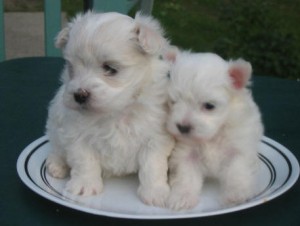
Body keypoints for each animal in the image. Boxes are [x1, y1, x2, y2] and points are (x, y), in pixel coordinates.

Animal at [45, 11, 175, 207]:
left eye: (110, 68)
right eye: (71, 68)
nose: (79, 95)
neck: (117, 111)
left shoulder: (155, 138)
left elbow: (153, 166)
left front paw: (155, 193)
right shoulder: (76, 135)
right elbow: (85, 161)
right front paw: (85, 186)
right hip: (54, 128)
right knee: (56, 150)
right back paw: (56, 166)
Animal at [165, 51, 264, 210]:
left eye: (209, 106)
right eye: (173, 101)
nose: (182, 127)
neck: (212, 136)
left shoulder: (239, 150)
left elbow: (237, 171)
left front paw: (236, 194)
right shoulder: (186, 154)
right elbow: (186, 177)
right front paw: (183, 196)